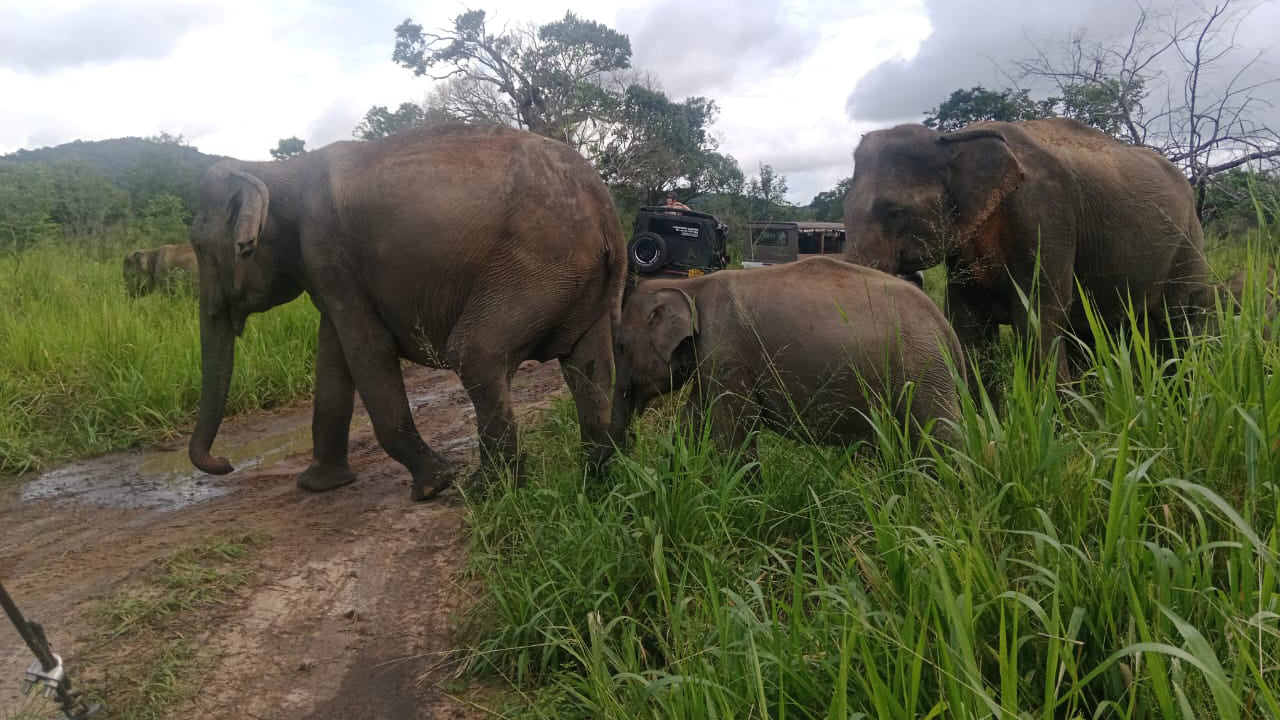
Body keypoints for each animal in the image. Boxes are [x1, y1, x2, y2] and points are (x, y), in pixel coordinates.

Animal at [187, 124, 626, 501]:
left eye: (203, 252)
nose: (224, 463)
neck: (271, 170)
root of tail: (605, 206)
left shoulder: (326, 251)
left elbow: (368, 350)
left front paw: (435, 484)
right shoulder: (330, 270)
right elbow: (333, 357)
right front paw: (319, 485)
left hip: (539, 263)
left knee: (474, 353)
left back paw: (484, 490)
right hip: (577, 277)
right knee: (589, 365)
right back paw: (599, 471)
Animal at [608, 257, 965, 466]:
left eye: (622, 346)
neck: (688, 284)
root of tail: (945, 328)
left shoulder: (726, 352)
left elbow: (734, 429)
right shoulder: (713, 358)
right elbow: (693, 419)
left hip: (924, 368)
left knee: (944, 436)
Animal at [842, 118, 1209, 396]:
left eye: (894, 210)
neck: (954, 138)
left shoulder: (1046, 217)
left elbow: (1038, 318)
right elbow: (968, 326)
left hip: (1189, 238)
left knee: (1179, 318)